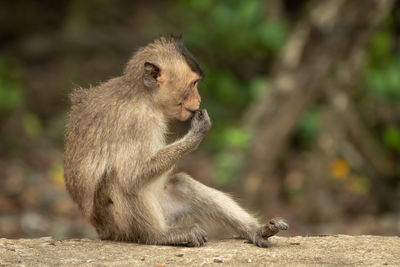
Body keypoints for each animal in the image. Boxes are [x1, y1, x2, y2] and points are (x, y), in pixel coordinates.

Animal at [64, 36, 288, 249]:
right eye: (193, 84)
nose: (199, 101)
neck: (144, 97)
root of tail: (102, 231)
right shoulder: (136, 121)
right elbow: (130, 176)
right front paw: (196, 133)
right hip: (118, 226)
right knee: (118, 180)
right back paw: (157, 235)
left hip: (166, 209)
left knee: (182, 184)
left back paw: (257, 231)